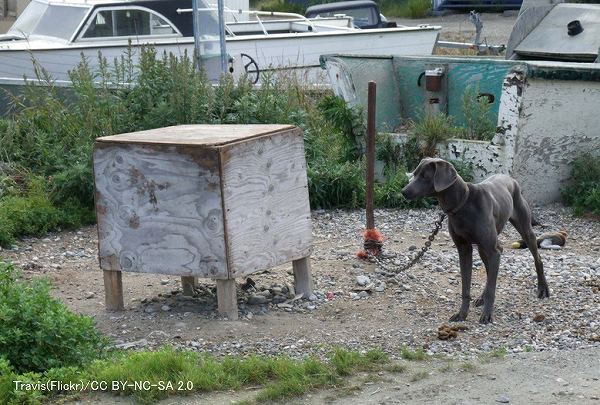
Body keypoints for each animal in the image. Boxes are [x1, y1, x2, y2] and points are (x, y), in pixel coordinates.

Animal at [400, 157, 552, 322]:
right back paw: (482, 297)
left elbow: (492, 287)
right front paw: (462, 314)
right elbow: (466, 286)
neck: (462, 204)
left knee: (537, 259)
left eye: (425, 176)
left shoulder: (492, 250)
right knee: (491, 269)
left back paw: (543, 289)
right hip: (482, 248)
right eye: (414, 174)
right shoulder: (464, 249)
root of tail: (510, 178)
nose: (403, 192)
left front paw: (487, 315)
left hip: (524, 230)